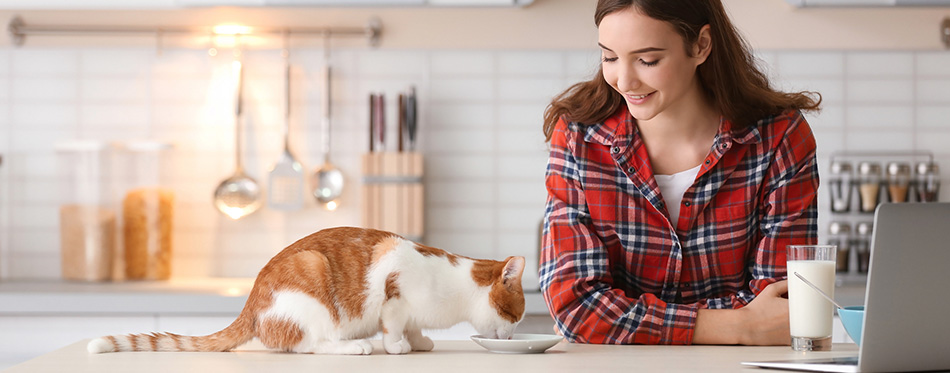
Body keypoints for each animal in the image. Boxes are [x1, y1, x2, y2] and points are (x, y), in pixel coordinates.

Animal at [87, 227, 528, 354]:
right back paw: (355, 347)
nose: (513, 335)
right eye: (515, 315)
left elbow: (416, 329)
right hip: (312, 279)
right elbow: (393, 325)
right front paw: (398, 346)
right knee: (307, 344)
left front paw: (420, 342)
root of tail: (251, 303)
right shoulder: (395, 290)